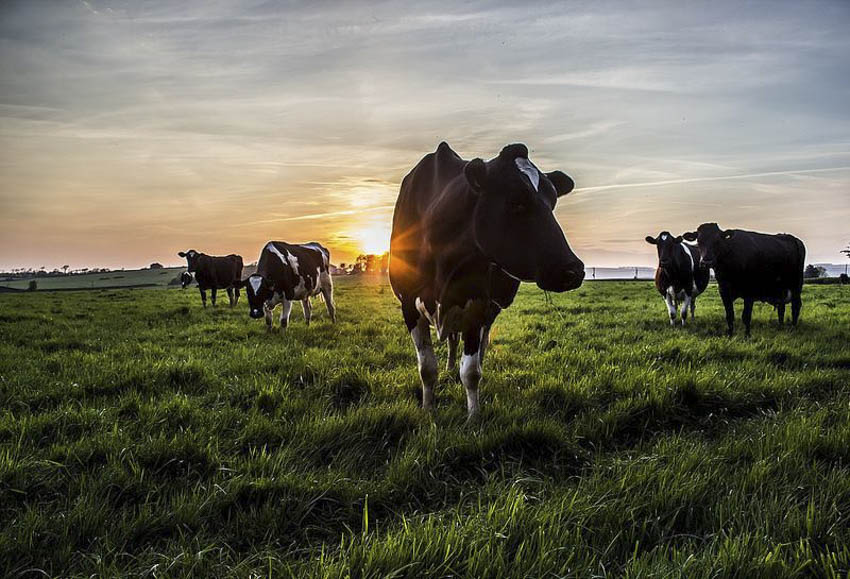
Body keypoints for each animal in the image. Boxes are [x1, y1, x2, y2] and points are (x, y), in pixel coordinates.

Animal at [390, 143, 584, 420]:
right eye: (516, 201)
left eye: (553, 202)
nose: (573, 270)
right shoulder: (408, 302)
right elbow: (427, 367)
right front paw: (428, 410)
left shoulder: (478, 305)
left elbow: (471, 372)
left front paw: (473, 417)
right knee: (452, 340)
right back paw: (450, 366)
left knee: (479, 345)